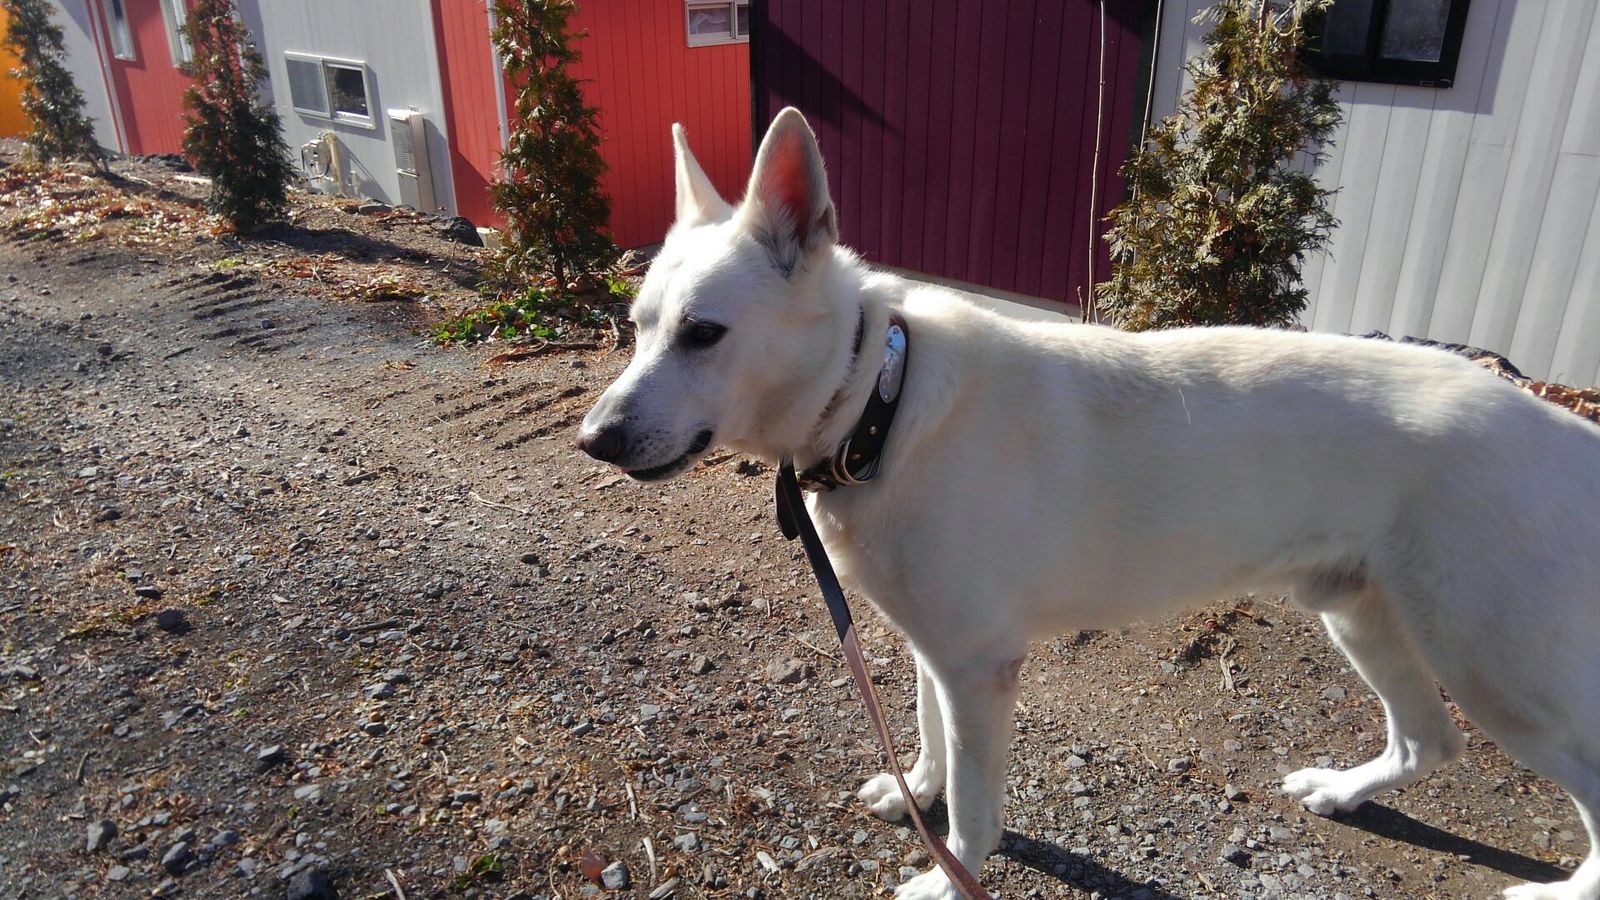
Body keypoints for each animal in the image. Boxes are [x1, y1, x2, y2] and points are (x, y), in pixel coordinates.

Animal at [578, 108, 1600, 900]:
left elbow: (977, 811)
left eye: (704, 334)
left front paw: (948, 874)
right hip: (1361, 616)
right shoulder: (933, 650)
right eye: (636, 328)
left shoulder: (980, 668)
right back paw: (1345, 792)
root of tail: (1564, 427)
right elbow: (927, 741)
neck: (881, 398)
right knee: (1432, 742)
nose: (594, 440)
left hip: (1494, 670)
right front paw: (915, 789)